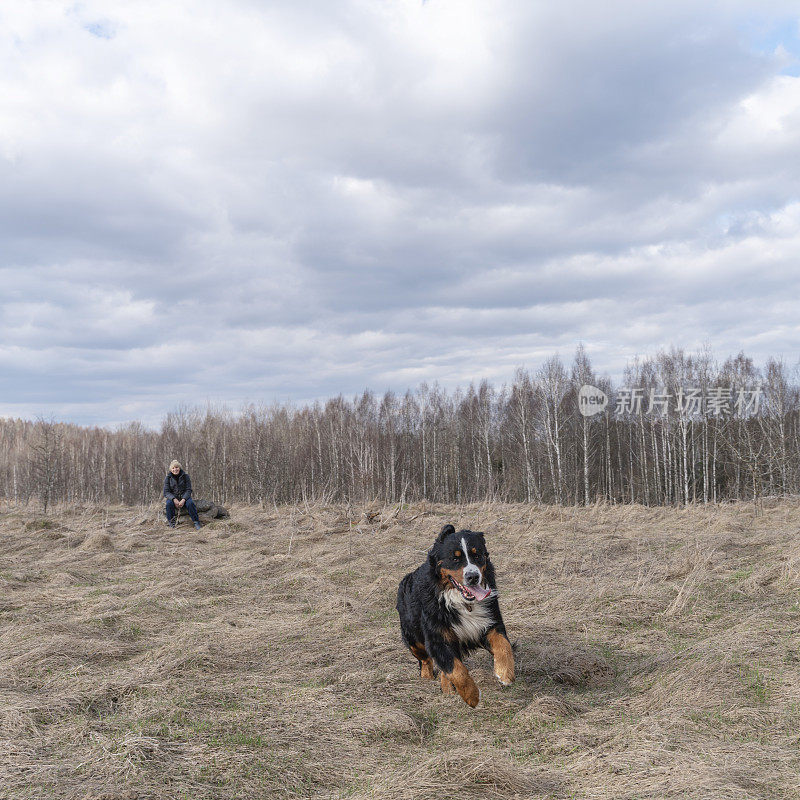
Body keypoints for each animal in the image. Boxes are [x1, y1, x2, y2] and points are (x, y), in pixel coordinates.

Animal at [396, 524, 516, 708]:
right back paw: (429, 679)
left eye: (477, 555)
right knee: (426, 660)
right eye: (455, 558)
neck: (465, 604)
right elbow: (456, 670)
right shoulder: (438, 638)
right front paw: (471, 696)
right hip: (413, 638)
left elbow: (504, 645)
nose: (473, 576)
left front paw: (505, 673)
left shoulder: (490, 623)